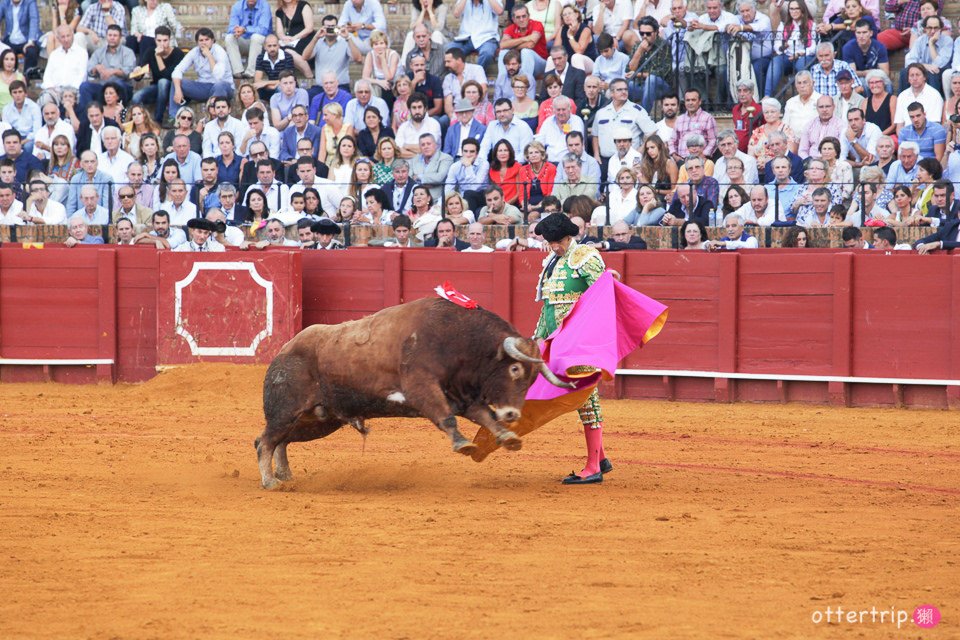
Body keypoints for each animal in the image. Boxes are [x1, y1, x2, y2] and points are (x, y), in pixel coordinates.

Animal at [255, 298, 568, 488]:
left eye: (532, 379)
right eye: (514, 369)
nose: (513, 413)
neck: (458, 338)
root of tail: (285, 349)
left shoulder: (463, 397)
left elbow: (485, 417)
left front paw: (507, 437)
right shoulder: (422, 387)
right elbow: (446, 417)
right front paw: (463, 444)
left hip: (319, 420)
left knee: (279, 441)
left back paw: (285, 475)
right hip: (287, 411)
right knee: (265, 442)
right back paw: (271, 482)